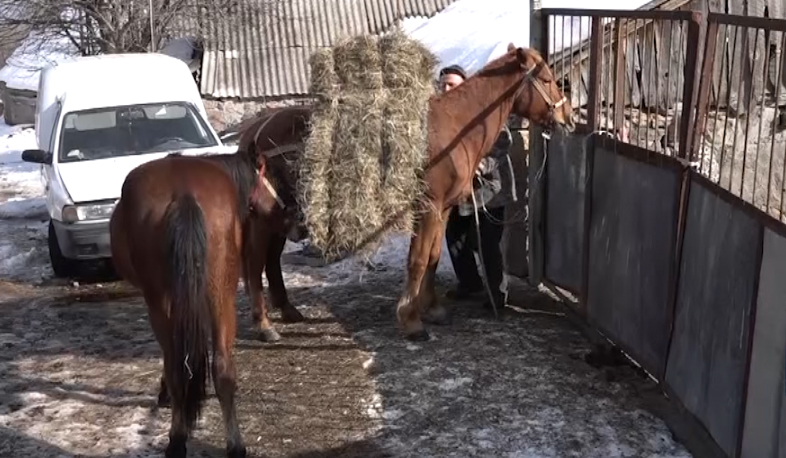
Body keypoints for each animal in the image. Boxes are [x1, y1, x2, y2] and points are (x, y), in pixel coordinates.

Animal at [110, 149, 278, 454]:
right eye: (265, 175)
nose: (282, 207)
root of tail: (184, 194)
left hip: (160, 303)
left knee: (177, 367)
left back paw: (177, 439)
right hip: (221, 298)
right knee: (223, 370)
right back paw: (235, 445)